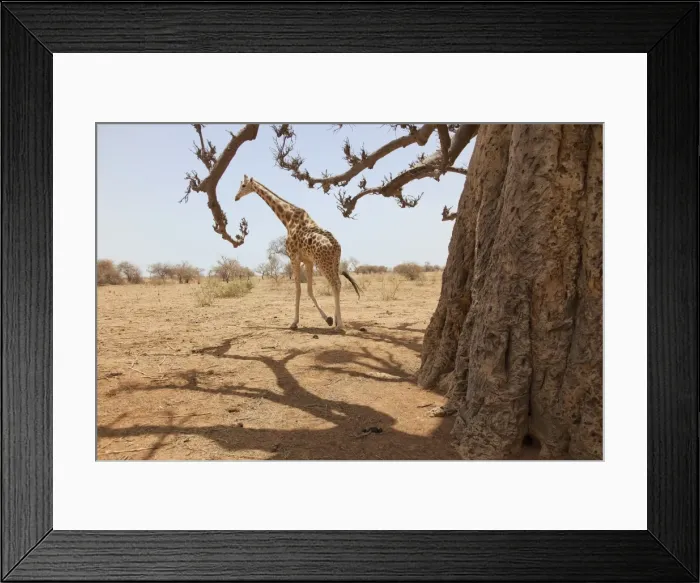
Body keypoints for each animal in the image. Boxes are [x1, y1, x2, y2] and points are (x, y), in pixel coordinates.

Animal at [234, 175, 360, 331]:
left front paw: (294, 322)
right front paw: (328, 319)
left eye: (243, 185)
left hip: (323, 262)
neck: (287, 219)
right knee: (338, 284)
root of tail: (335, 246)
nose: (236, 197)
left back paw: (340, 325)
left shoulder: (293, 257)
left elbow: (298, 289)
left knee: (335, 284)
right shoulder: (308, 260)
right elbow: (309, 290)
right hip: (334, 262)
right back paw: (337, 321)